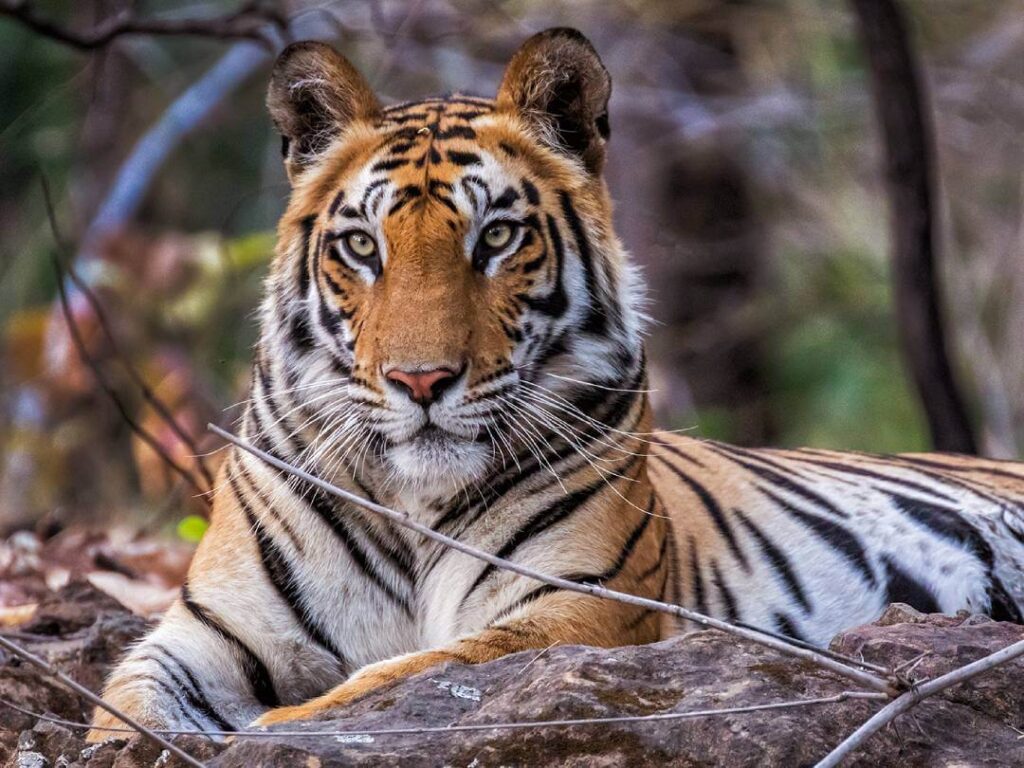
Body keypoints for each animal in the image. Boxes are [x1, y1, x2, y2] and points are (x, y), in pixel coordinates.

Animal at [90, 28, 1024, 741]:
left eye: (496, 238)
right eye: (361, 247)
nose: (420, 380)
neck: (413, 500)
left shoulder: (578, 607)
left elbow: (401, 675)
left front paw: (269, 731)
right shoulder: (208, 630)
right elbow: (123, 709)